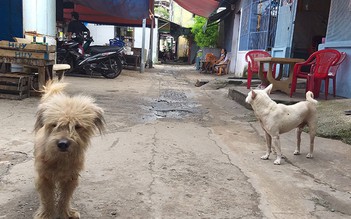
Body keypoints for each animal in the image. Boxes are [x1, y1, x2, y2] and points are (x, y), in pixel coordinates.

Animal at [33, 81, 105, 219]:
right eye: (54, 125)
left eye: (77, 126)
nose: (62, 144)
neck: (60, 159)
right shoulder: (45, 178)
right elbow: (47, 198)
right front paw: (46, 214)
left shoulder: (71, 178)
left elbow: (65, 198)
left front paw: (66, 212)